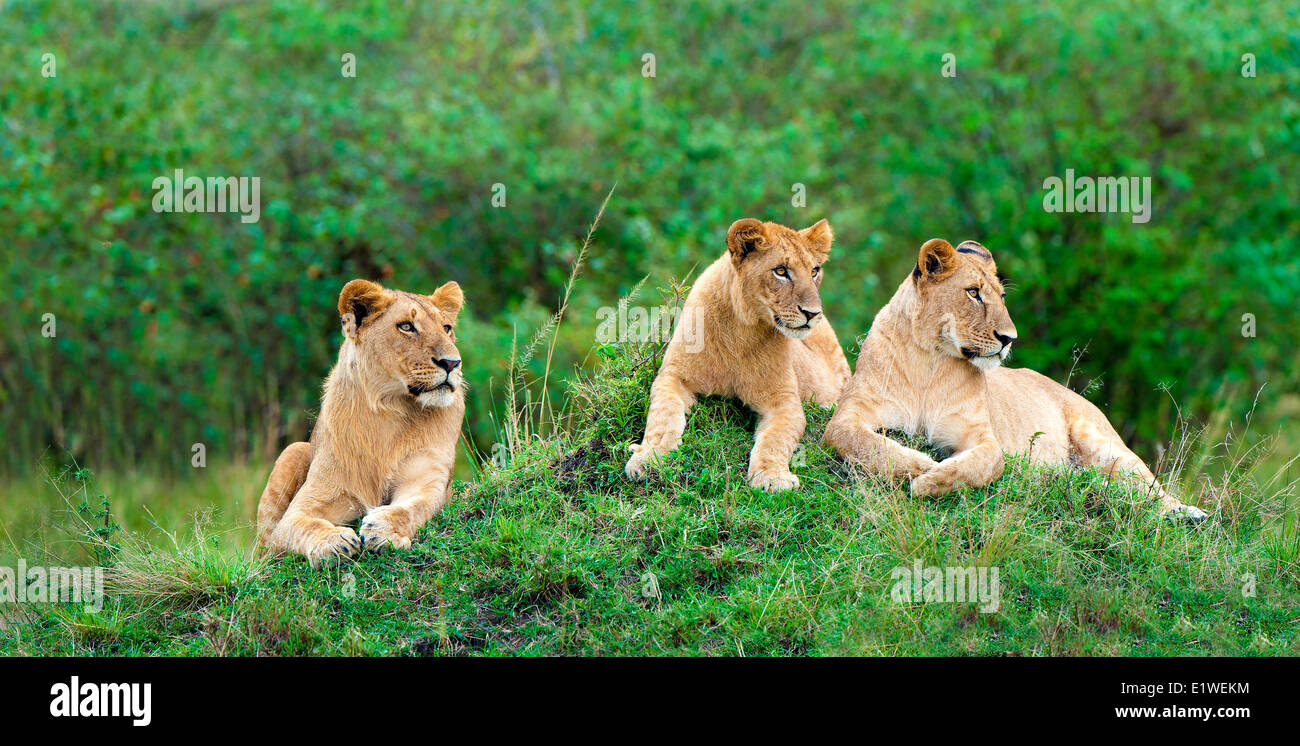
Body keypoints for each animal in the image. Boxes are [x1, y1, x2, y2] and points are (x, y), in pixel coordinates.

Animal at [254, 279, 467, 566]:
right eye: (406, 326)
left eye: (447, 328)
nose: (452, 363)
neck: (391, 410)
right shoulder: (304, 506)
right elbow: (301, 524)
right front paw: (333, 542)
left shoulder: (429, 481)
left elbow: (413, 507)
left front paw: (384, 531)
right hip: (292, 451)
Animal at [621, 219, 847, 493]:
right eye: (781, 271)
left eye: (814, 271)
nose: (813, 313)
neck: (743, 331)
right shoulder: (672, 376)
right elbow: (664, 415)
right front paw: (648, 458)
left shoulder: (784, 400)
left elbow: (775, 439)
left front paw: (772, 477)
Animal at [821, 237, 1206, 519]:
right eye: (973, 293)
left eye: (1002, 296)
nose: (1009, 338)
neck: (929, 361)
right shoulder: (845, 419)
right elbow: (869, 444)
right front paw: (921, 466)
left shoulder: (982, 437)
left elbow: (984, 464)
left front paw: (931, 480)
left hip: (1104, 443)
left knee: (1149, 486)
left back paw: (1187, 514)